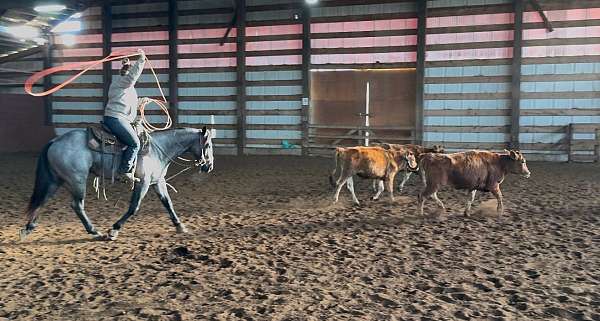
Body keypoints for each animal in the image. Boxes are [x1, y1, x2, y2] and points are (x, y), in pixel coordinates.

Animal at [19, 125, 213, 240]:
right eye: (208, 145)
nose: (209, 166)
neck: (158, 150)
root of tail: (55, 141)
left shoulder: (157, 181)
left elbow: (168, 203)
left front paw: (180, 226)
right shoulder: (142, 183)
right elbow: (134, 207)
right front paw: (114, 229)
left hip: (55, 179)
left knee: (42, 200)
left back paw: (28, 228)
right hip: (77, 180)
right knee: (77, 205)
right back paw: (94, 231)